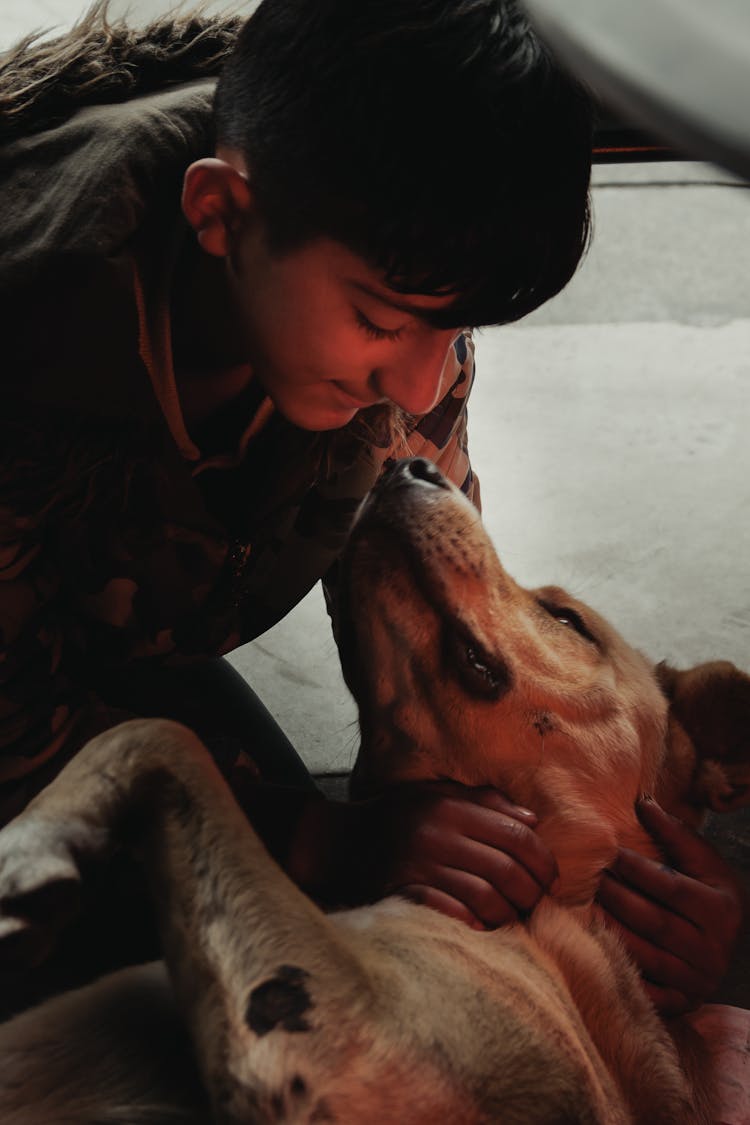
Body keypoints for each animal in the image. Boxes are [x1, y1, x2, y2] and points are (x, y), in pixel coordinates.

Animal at [1, 459, 750, 1125]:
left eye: (567, 621)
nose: (405, 463)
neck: (559, 904)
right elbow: (150, 733)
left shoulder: (340, 1044)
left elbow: (165, 737)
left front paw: (29, 852)